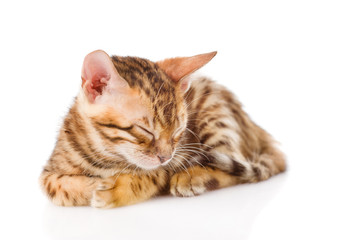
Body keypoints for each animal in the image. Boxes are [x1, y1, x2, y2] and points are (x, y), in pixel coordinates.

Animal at [39, 50, 286, 208]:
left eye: (178, 131)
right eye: (145, 130)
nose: (165, 157)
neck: (106, 153)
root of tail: (257, 129)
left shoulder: (172, 159)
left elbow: (147, 177)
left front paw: (115, 189)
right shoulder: (48, 173)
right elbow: (57, 186)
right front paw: (95, 185)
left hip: (215, 117)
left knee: (235, 168)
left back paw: (192, 177)